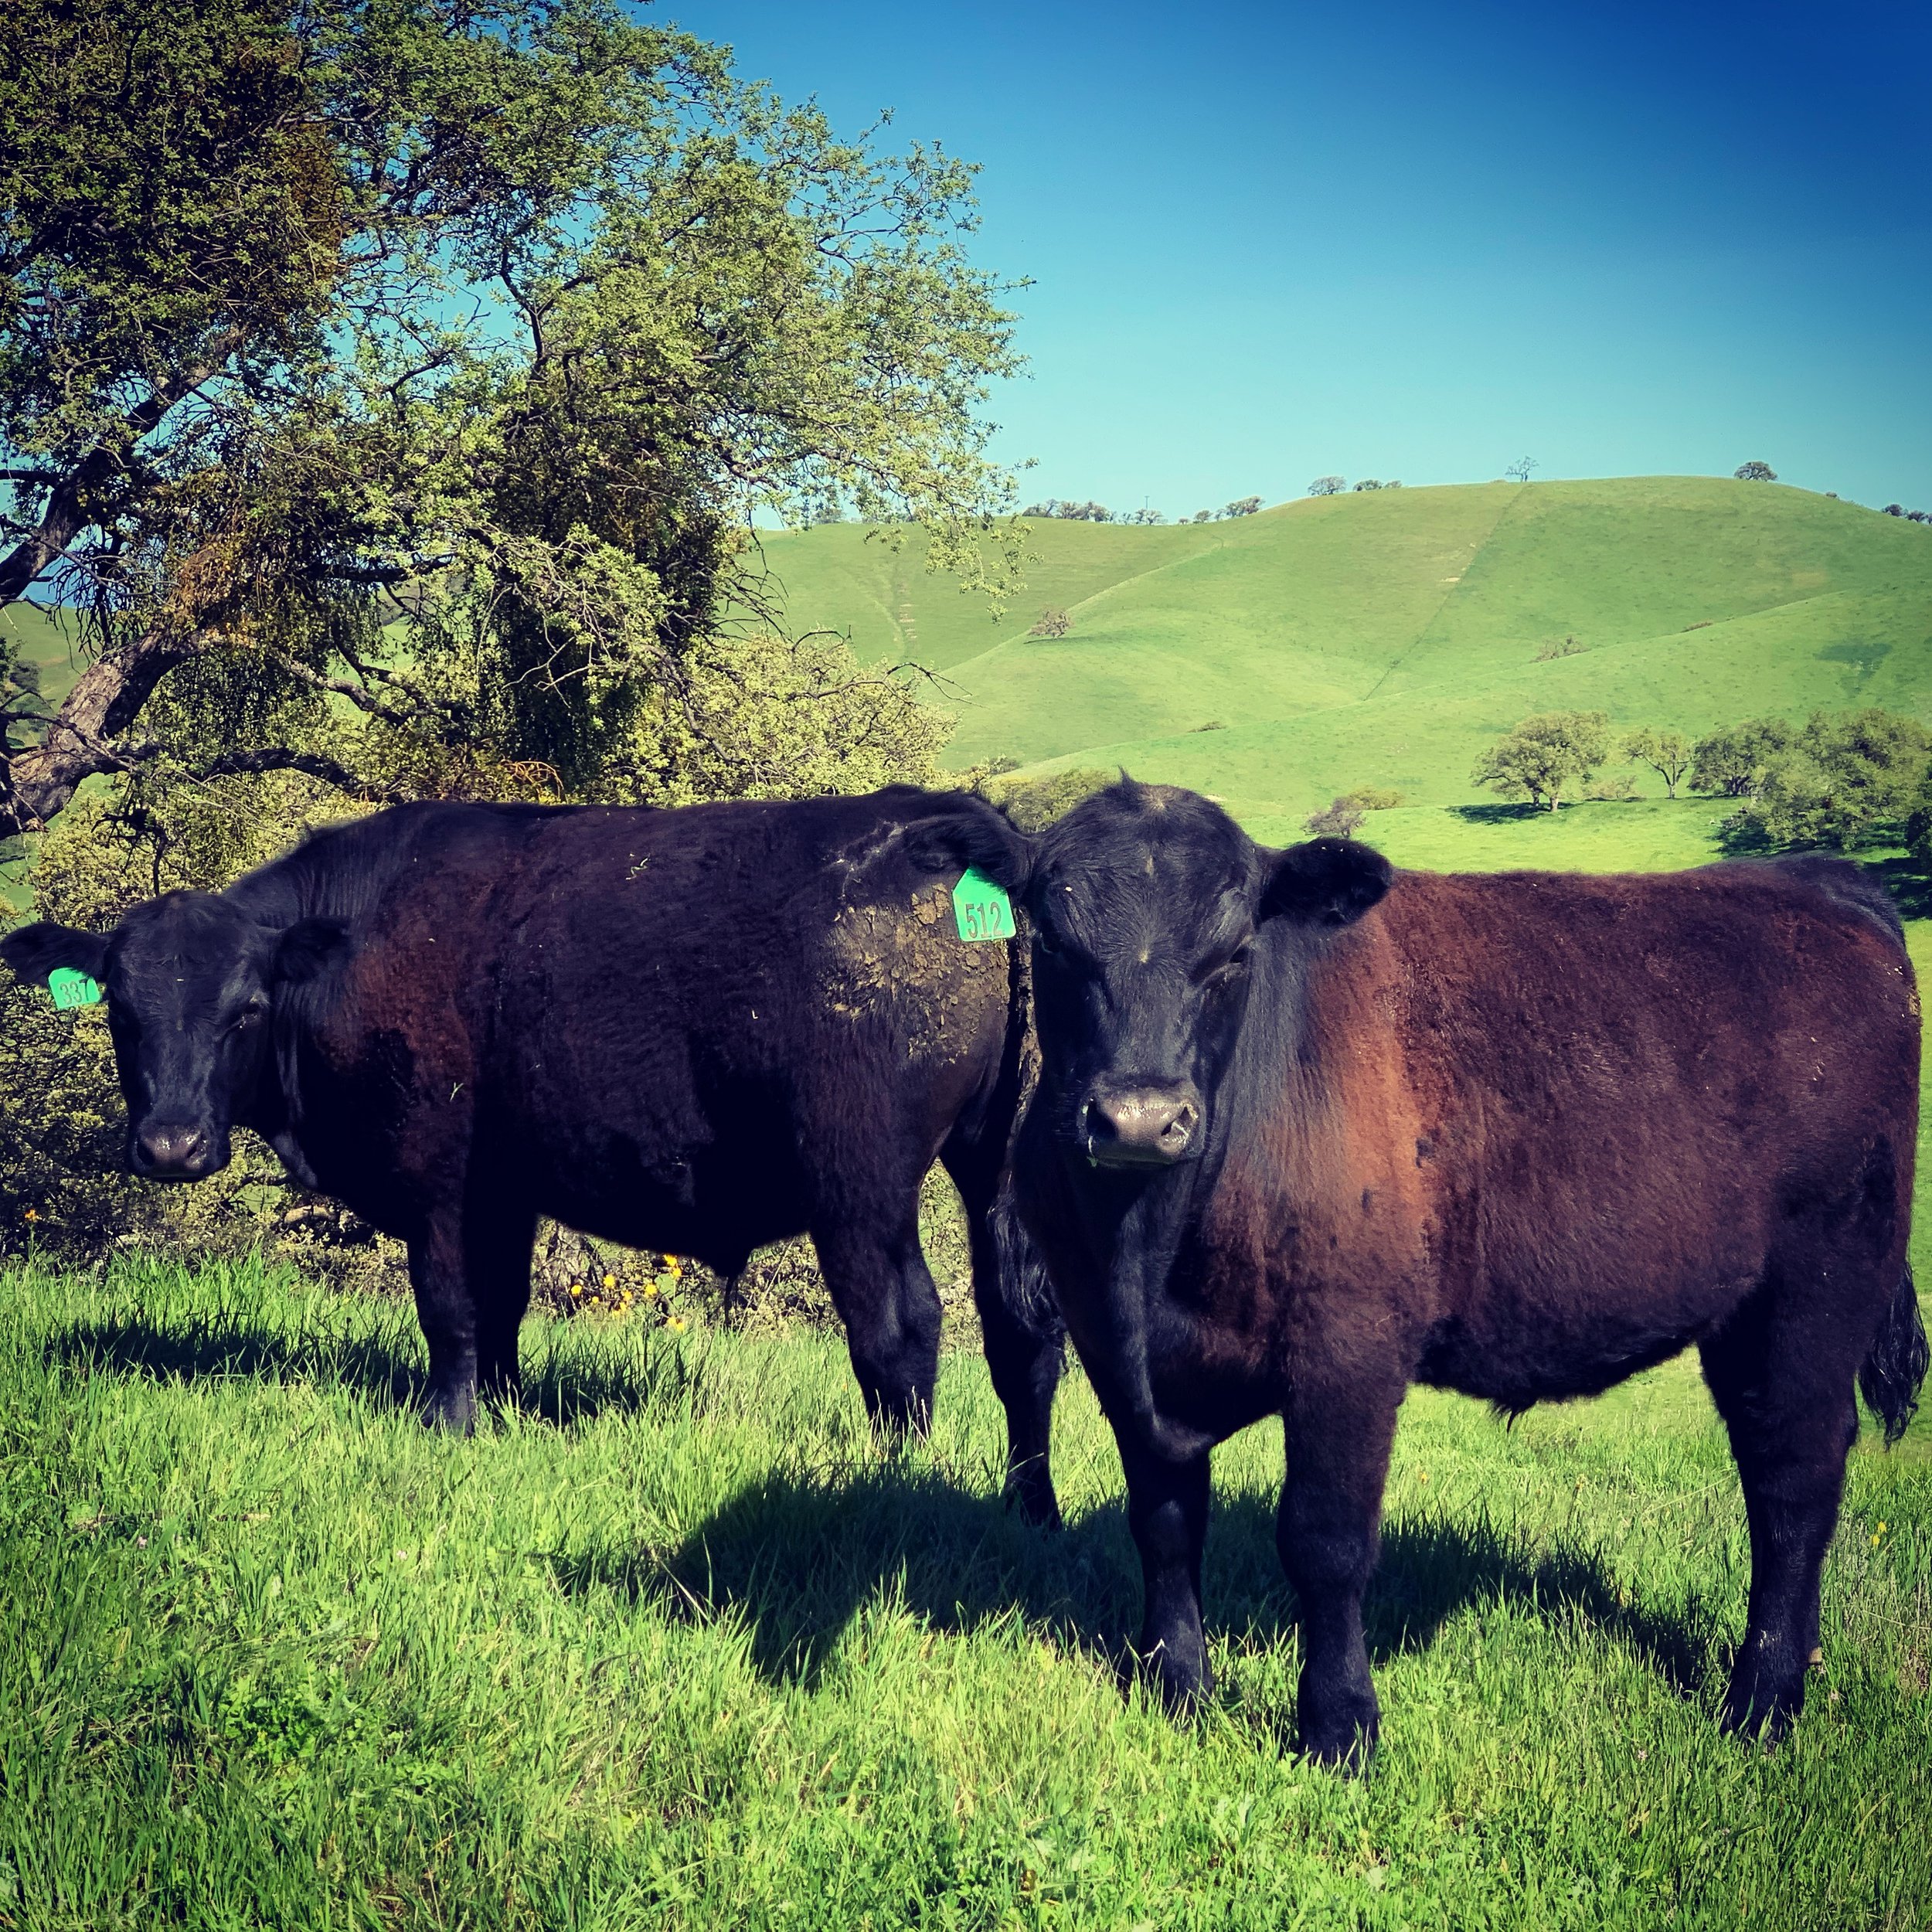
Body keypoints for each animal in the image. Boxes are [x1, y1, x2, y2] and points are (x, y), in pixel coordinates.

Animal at [1, 789, 1065, 1525]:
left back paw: (895, 1484)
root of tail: (954, 823)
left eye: (245, 1009)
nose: (172, 1145)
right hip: (999, 1168)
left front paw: (449, 1425)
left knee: (900, 1331)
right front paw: (505, 1413)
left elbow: (448, 1307)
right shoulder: (501, 1191)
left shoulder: (436, 1177)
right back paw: (1029, 1509)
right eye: (120, 1012)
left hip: (859, 1184)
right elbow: (501, 1307)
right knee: (1021, 1335)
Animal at [1010, 778, 1927, 1765]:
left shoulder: (1351, 1349)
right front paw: (1178, 1688)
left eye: (1235, 951)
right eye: (1049, 940)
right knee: (1772, 1463)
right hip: (1746, 1313)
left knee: (1795, 1477)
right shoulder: (1112, 1349)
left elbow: (1325, 1540)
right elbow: (1166, 1521)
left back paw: (1760, 1701)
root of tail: (1817, 883)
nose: (1140, 1119)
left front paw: (1339, 1728)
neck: (1154, 1254)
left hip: (1819, 1287)